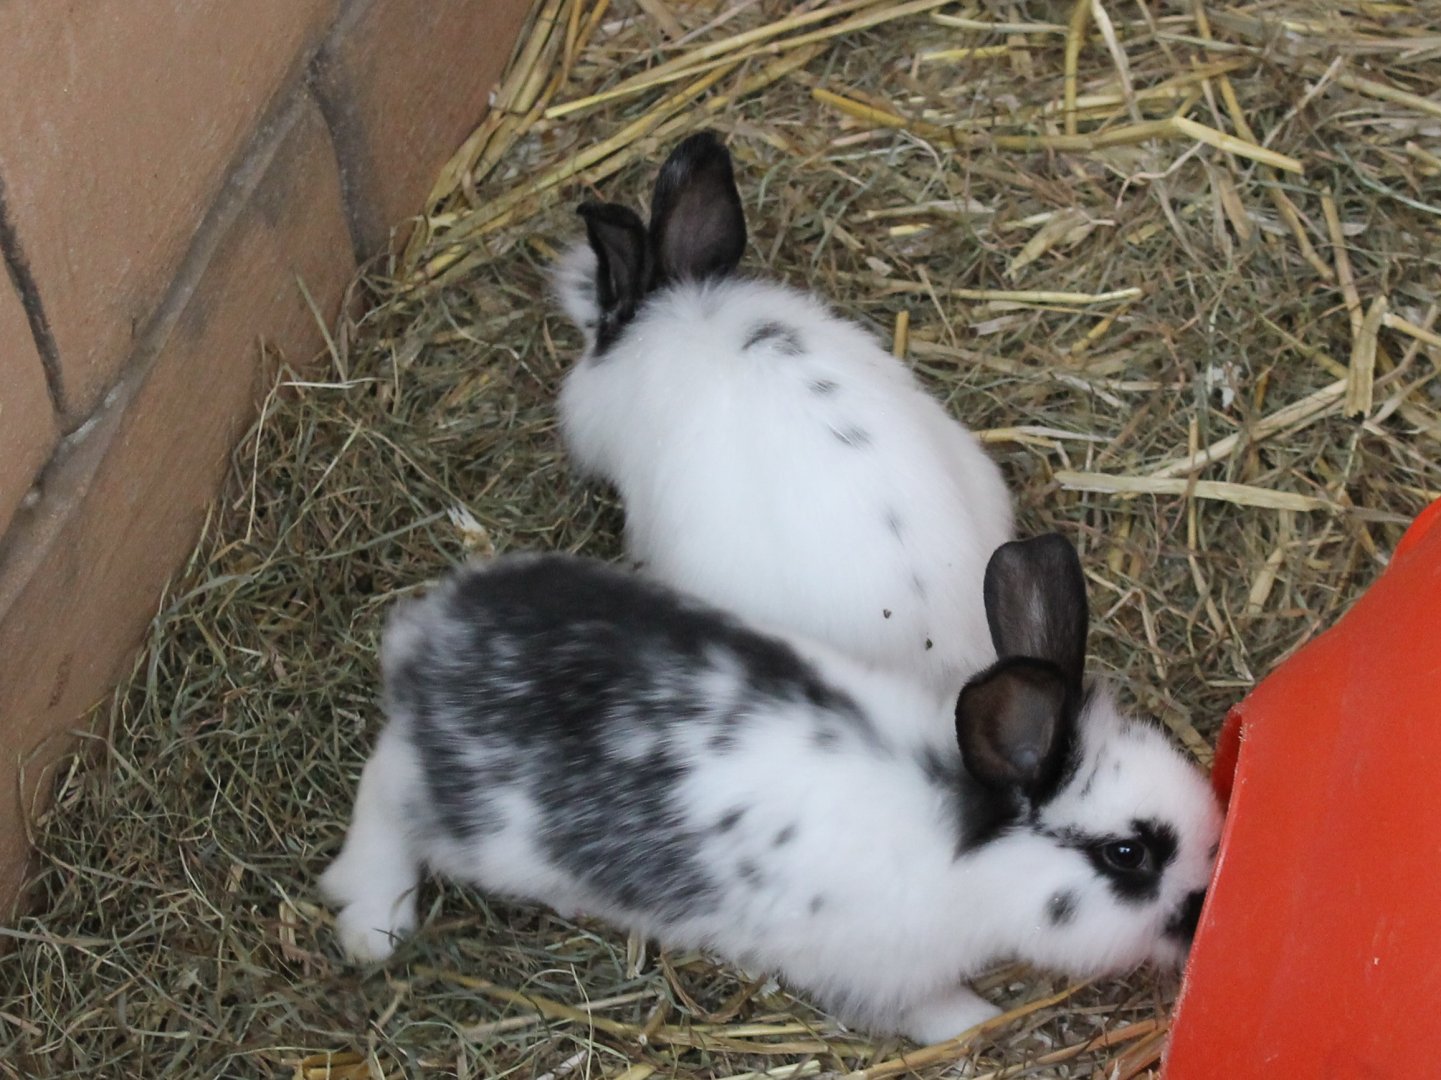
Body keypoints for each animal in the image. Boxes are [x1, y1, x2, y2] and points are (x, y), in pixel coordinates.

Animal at [320, 533, 1223, 1045]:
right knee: (385, 784)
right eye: (1127, 854)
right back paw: (371, 920)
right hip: (475, 825)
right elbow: (926, 1010)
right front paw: (977, 1026)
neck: (964, 841)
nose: (1198, 915)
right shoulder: (884, 969)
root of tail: (430, 639)